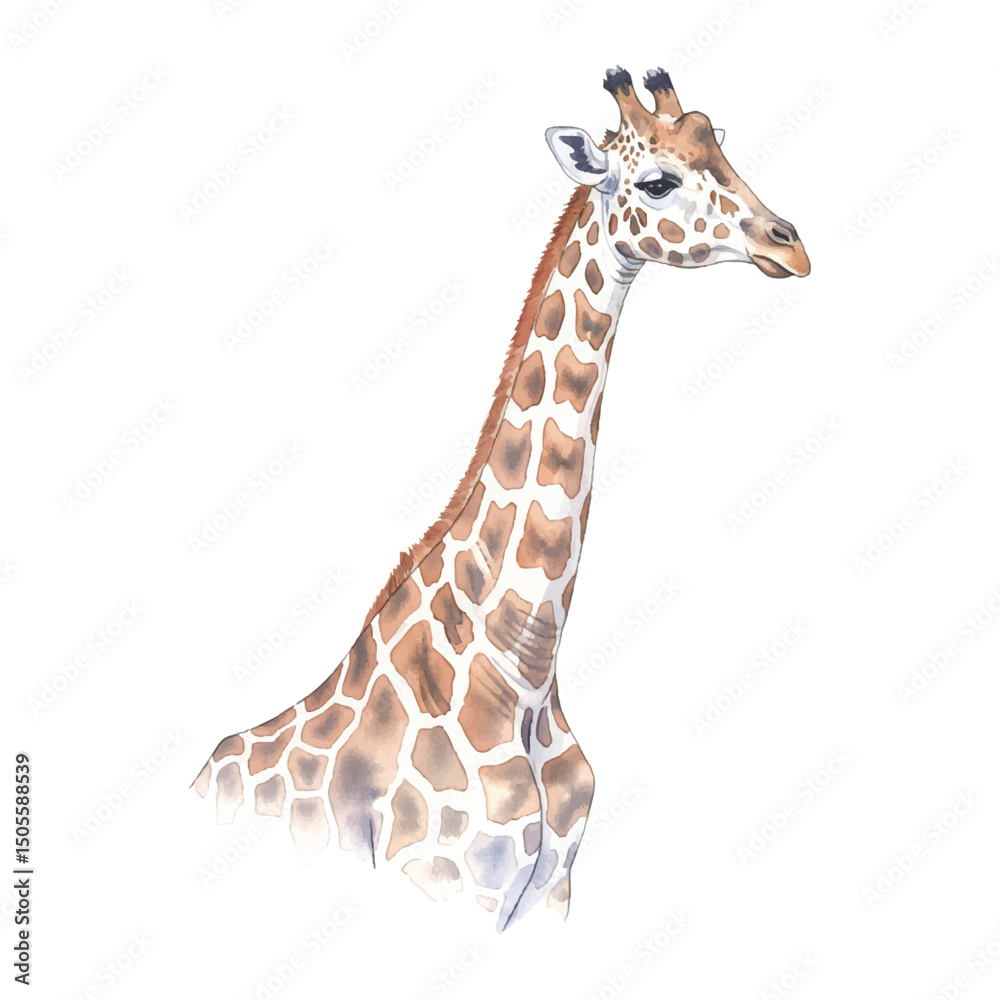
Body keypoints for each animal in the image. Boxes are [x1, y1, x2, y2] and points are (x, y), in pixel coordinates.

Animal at [192, 66, 810, 932]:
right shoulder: (451, 882)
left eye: (723, 150)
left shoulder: (550, 893)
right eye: (657, 180)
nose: (792, 245)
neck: (522, 671)